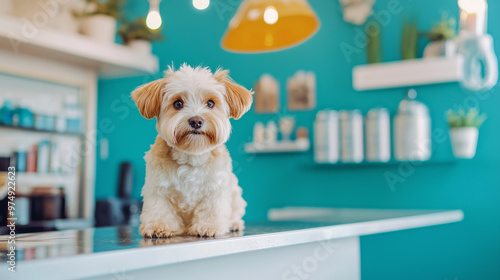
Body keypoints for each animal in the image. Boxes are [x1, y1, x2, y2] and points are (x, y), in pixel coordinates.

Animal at [132, 64, 254, 237]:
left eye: (210, 103)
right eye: (177, 103)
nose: (196, 121)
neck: (191, 157)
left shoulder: (216, 189)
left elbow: (211, 208)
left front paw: (209, 226)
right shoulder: (157, 188)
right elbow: (159, 208)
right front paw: (158, 225)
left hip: (236, 194)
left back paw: (234, 223)